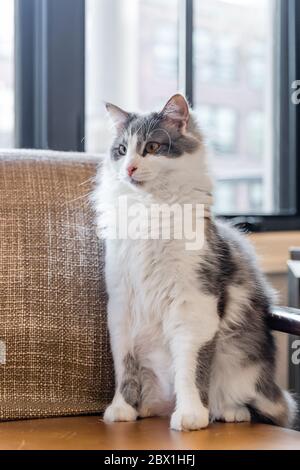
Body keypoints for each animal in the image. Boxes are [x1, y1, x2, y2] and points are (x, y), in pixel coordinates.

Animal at [95, 93, 296, 432]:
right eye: (122, 151)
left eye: (152, 147)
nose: (130, 168)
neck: (151, 211)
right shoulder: (122, 307)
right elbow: (124, 366)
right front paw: (121, 409)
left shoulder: (194, 303)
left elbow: (190, 370)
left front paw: (191, 415)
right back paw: (147, 408)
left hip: (244, 369)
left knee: (255, 406)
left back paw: (228, 412)